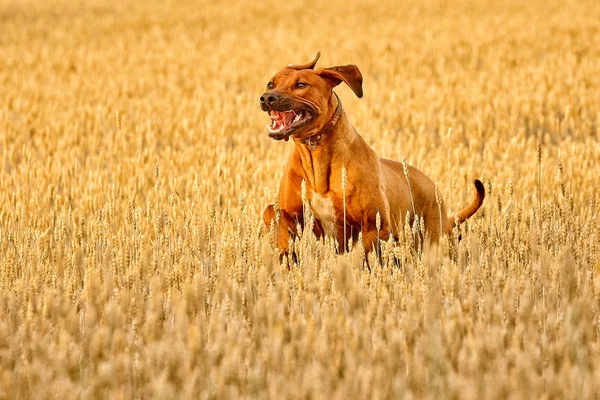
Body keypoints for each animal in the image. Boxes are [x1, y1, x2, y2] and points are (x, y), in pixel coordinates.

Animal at [260, 53, 486, 258]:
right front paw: (284, 251)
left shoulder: (373, 224)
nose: (267, 98)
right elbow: (272, 212)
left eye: (301, 85)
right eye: (271, 83)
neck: (314, 153)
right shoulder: (295, 213)